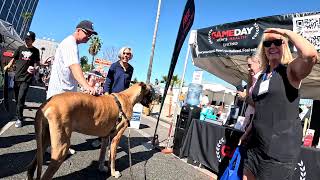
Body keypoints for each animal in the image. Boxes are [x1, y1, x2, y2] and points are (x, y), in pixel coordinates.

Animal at [28, 82, 156, 179]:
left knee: (31, 168)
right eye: (151, 93)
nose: (152, 105)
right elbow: (113, 157)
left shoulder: (105, 137)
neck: (127, 97)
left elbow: (103, 155)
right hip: (61, 149)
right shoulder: (116, 137)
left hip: (44, 141)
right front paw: (113, 173)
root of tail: (46, 104)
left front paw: (101, 168)